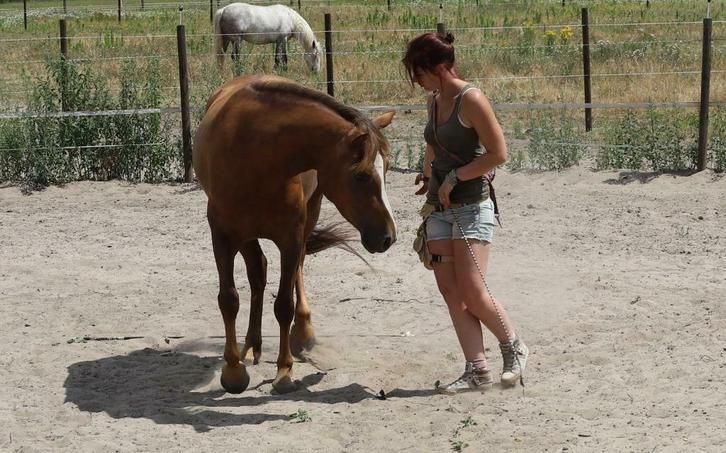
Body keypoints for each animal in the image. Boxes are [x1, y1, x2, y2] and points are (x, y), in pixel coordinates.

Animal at [193, 75, 397, 394]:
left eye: (386, 168)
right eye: (361, 175)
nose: (388, 237)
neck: (255, 153)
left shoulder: (290, 237)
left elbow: (284, 305)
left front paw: (284, 370)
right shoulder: (223, 236)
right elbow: (228, 300)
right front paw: (233, 371)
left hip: (309, 215)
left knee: (295, 268)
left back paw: (302, 330)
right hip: (247, 235)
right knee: (258, 273)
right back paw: (250, 346)